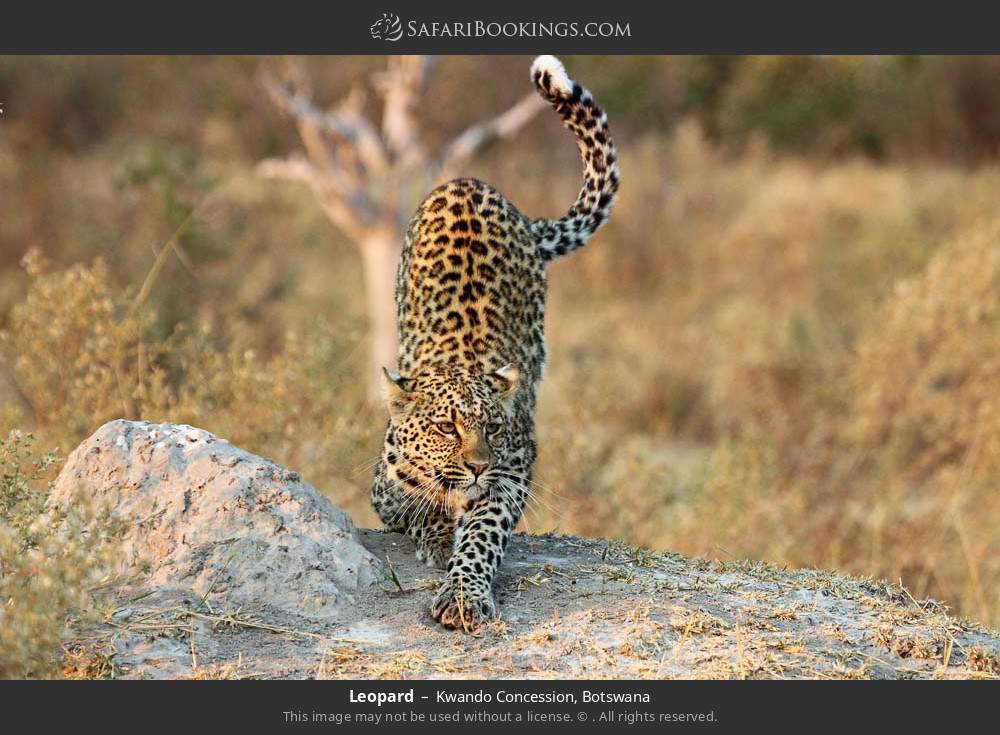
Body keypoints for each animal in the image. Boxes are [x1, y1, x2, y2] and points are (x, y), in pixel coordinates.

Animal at [370, 56, 616, 632]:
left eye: (494, 428)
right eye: (445, 427)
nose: (479, 464)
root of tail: (472, 182)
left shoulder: (511, 473)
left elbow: (481, 534)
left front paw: (464, 593)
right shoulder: (383, 489)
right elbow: (417, 505)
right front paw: (439, 533)